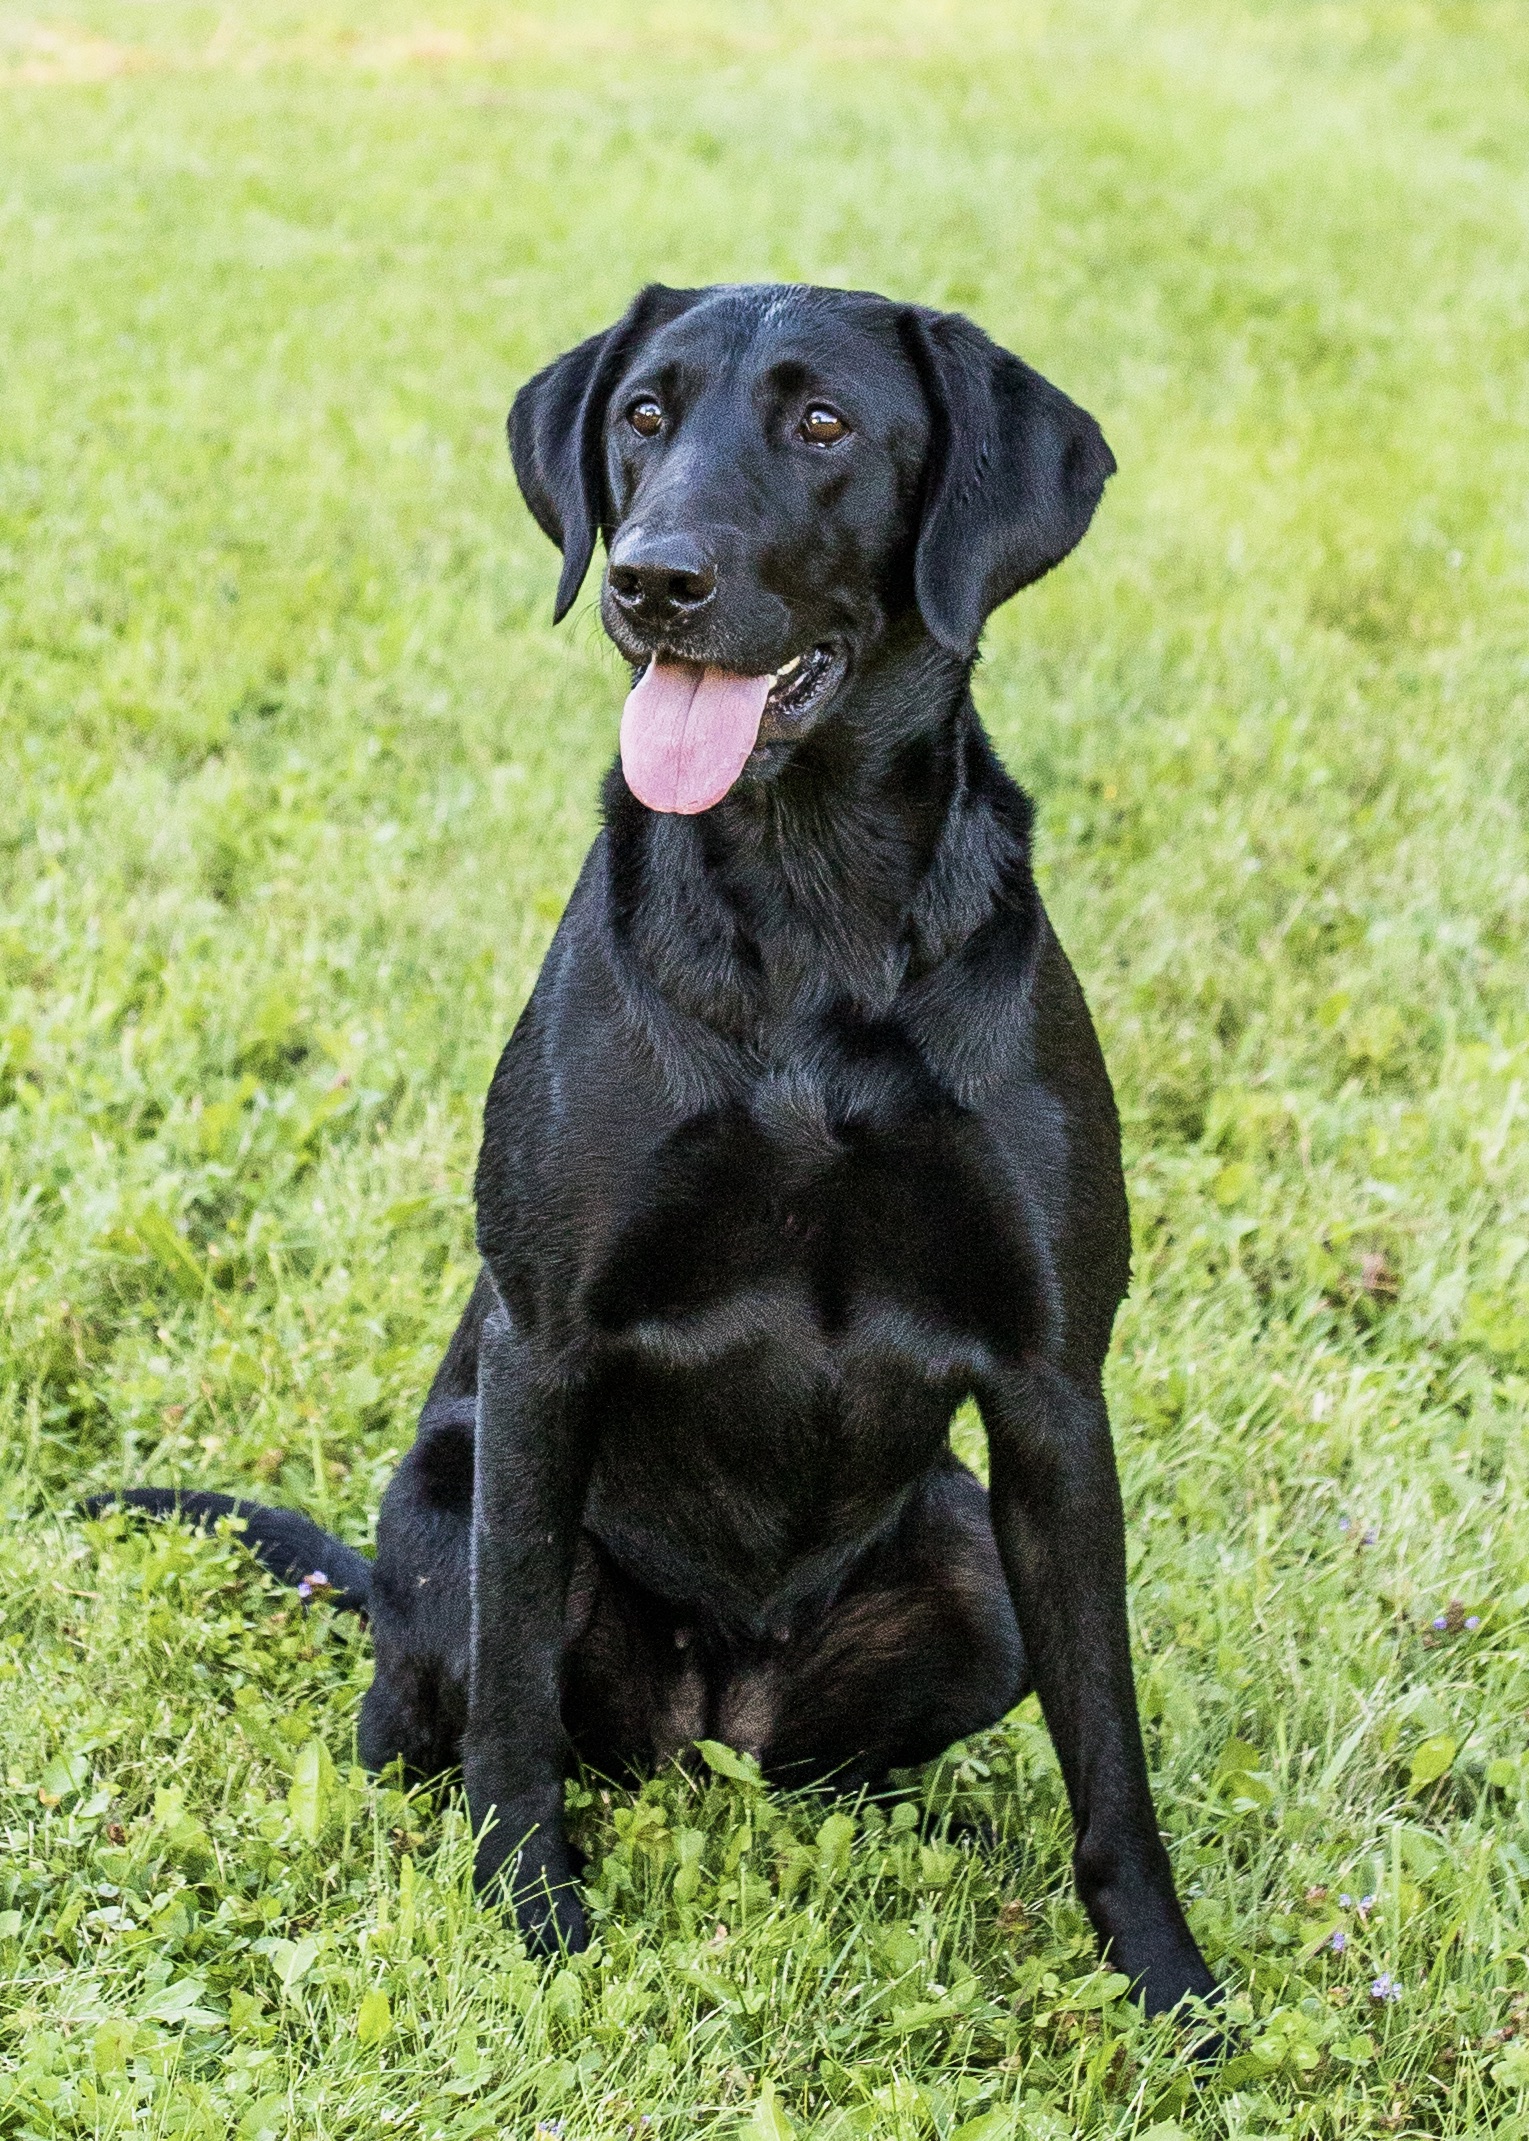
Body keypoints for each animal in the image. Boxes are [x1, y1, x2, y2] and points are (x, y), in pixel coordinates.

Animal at [95, 276, 1216, 2012]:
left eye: (822, 422)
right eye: (641, 416)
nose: (649, 581)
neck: (810, 903)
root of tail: (714, 1727)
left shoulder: (1050, 1385)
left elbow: (1109, 1733)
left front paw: (1165, 1982)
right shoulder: (545, 1352)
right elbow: (510, 1715)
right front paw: (524, 1916)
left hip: (965, 1559)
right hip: (450, 1516)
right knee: (439, 1716)